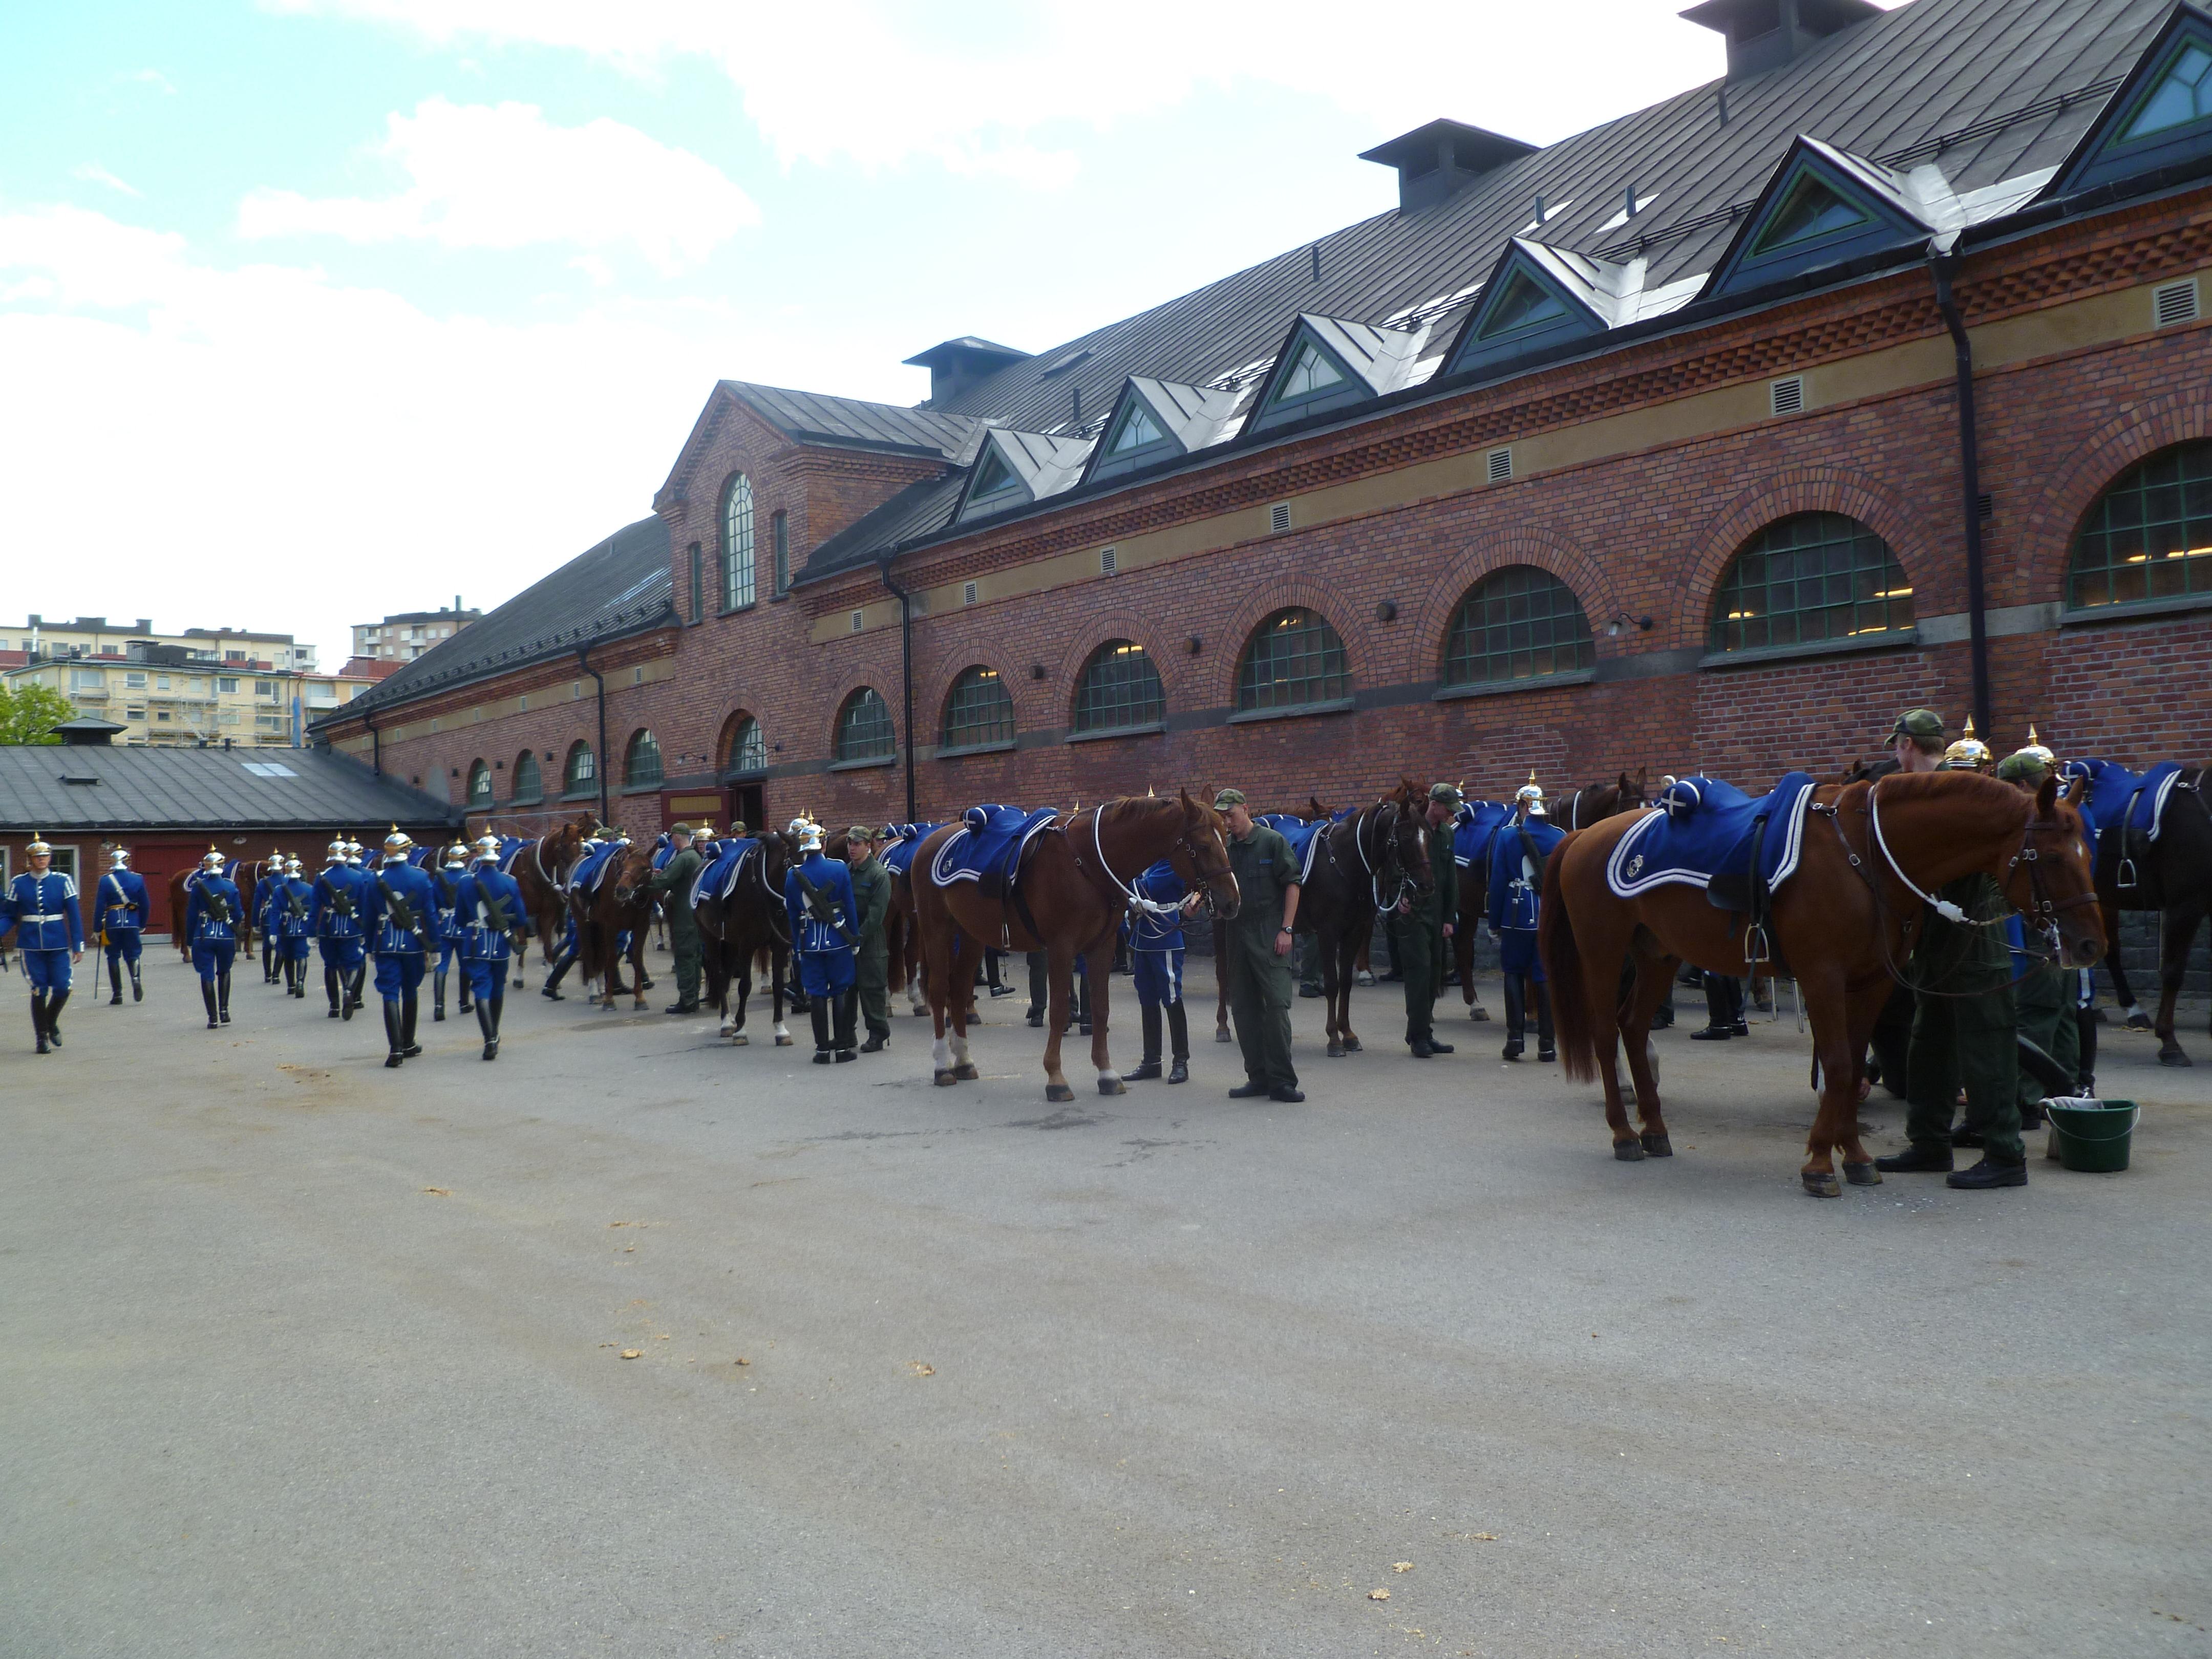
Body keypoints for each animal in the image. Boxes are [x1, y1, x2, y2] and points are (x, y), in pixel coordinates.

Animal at [694, 832, 800, 1053]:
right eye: (796, 864)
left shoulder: (779, 945)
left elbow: (779, 985)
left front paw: (781, 1030)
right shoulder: (748, 945)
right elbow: (745, 986)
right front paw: (741, 1031)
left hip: (731, 944)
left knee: (726, 977)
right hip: (712, 939)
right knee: (720, 975)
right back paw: (727, 1023)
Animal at [907, 796, 1239, 1106]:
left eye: (1227, 838)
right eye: (1204, 845)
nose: (1232, 902)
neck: (1087, 860)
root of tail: (930, 840)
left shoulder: (1102, 946)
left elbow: (1101, 1007)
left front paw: (1106, 1074)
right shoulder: (1061, 947)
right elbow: (1058, 1010)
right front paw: (1056, 1077)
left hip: (973, 935)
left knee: (960, 989)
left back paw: (963, 1061)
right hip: (937, 930)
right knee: (939, 990)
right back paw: (942, 1065)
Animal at [1283, 778, 1433, 1057]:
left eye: (1428, 836)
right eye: (1406, 837)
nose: (1426, 885)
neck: (1342, 861)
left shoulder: (1354, 931)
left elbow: (1345, 983)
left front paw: (1349, 1034)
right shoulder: (1328, 933)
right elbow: (1332, 983)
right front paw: (1333, 1039)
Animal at [1548, 774, 2097, 1203]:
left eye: (2087, 852)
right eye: (2051, 857)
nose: (2091, 944)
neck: (1865, 854)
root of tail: (1582, 836)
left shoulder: (1873, 982)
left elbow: (1852, 1068)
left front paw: (1854, 1156)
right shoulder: (1823, 978)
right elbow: (1835, 1065)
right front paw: (1818, 1162)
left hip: (1657, 955)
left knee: (1634, 1027)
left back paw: (1656, 1130)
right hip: (1602, 952)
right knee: (1606, 1034)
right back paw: (1624, 1134)